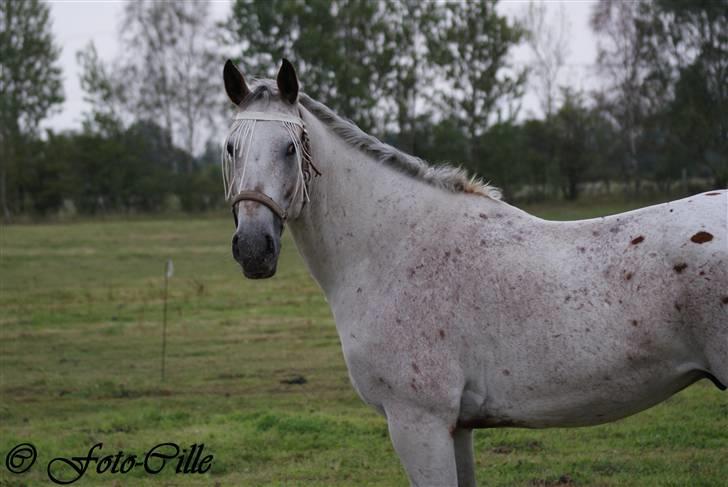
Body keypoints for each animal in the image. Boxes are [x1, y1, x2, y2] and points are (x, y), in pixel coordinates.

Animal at [222, 59, 728, 486]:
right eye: (230, 149)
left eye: (289, 149)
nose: (253, 248)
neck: (393, 247)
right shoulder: (456, 427)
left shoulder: (418, 423)